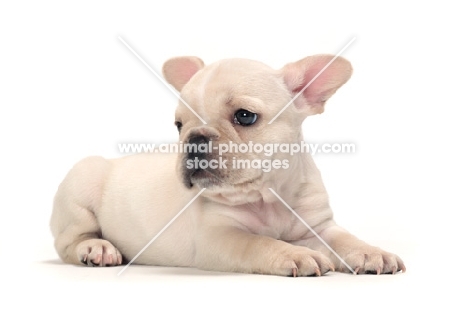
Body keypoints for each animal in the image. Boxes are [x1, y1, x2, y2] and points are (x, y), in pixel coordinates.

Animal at [49, 54, 404, 276]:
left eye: (245, 116)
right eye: (179, 125)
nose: (194, 139)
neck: (269, 197)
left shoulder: (319, 225)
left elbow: (344, 240)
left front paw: (372, 252)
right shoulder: (219, 238)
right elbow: (258, 242)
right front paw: (295, 254)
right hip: (81, 180)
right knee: (69, 242)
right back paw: (98, 248)